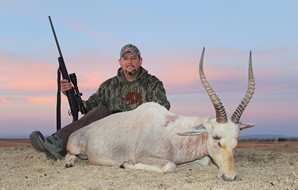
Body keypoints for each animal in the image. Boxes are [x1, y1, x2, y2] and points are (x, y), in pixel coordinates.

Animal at [64, 47, 255, 181]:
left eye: (237, 141)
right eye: (216, 139)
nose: (230, 176)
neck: (173, 132)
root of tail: (79, 132)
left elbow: (204, 161)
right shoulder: (145, 156)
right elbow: (170, 165)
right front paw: (125, 165)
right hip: (74, 147)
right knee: (70, 154)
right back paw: (69, 162)